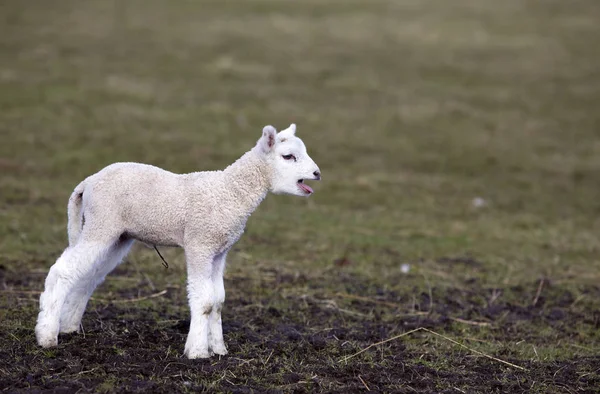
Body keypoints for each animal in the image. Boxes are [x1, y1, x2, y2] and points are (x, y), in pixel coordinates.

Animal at [35, 124, 322, 358]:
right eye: (288, 156)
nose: (317, 173)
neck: (230, 191)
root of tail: (87, 182)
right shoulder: (200, 244)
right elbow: (204, 301)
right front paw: (198, 352)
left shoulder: (220, 251)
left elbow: (218, 300)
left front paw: (219, 349)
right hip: (102, 223)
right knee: (62, 271)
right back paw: (47, 336)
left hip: (116, 235)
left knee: (88, 276)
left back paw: (69, 327)